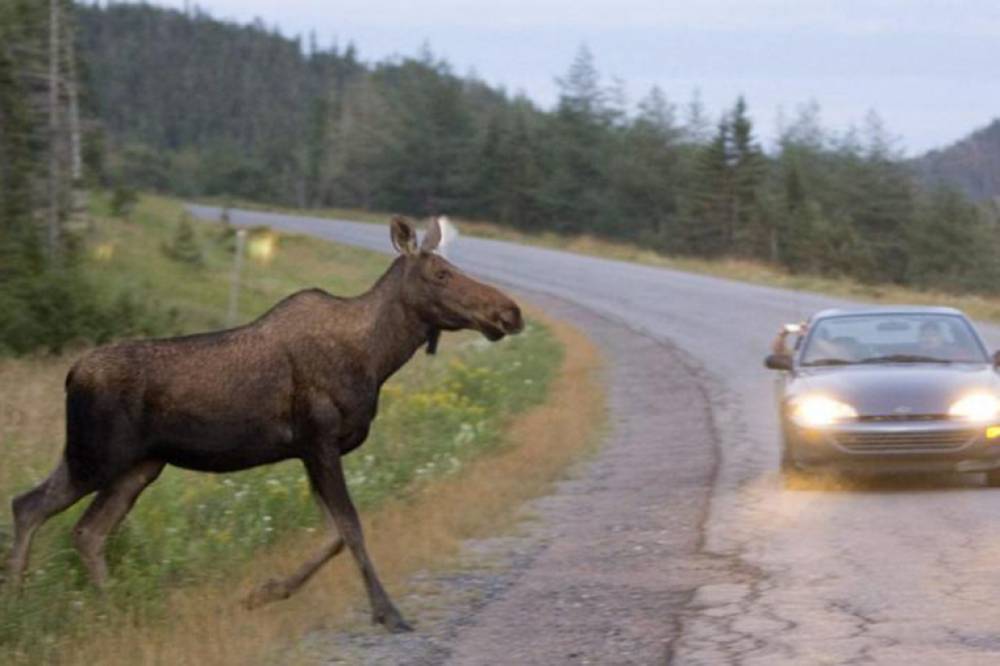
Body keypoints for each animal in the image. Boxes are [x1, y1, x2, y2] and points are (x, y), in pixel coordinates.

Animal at [5, 215, 524, 632]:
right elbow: (351, 528)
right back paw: (19, 603)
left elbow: (333, 534)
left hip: (136, 466)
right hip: (97, 456)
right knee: (30, 506)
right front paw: (388, 612)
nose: (511, 311)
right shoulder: (319, 439)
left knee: (85, 530)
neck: (377, 357)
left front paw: (262, 593)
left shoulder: (312, 451)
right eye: (441, 273)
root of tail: (71, 375)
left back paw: (108, 610)